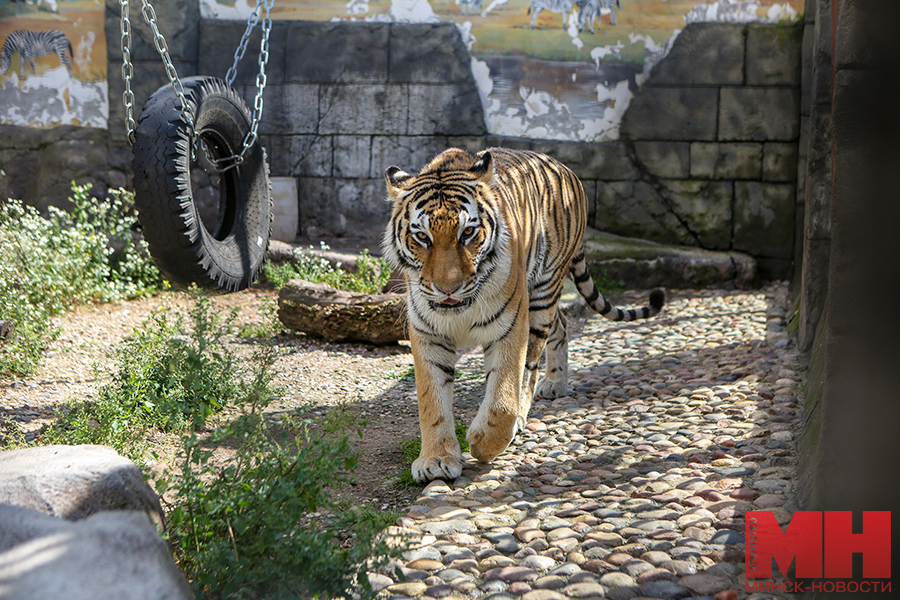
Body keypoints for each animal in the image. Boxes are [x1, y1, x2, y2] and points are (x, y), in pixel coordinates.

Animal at [384, 149, 664, 482]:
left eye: (468, 232)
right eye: (422, 237)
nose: (447, 289)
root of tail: (564, 168)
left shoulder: (509, 326)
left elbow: (503, 396)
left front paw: (483, 443)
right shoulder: (428, 333)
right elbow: (432, 399)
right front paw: (436, 460)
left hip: (542, 294)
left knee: (531, 367)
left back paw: (531, 405)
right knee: (563, 324)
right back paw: (555, 382)